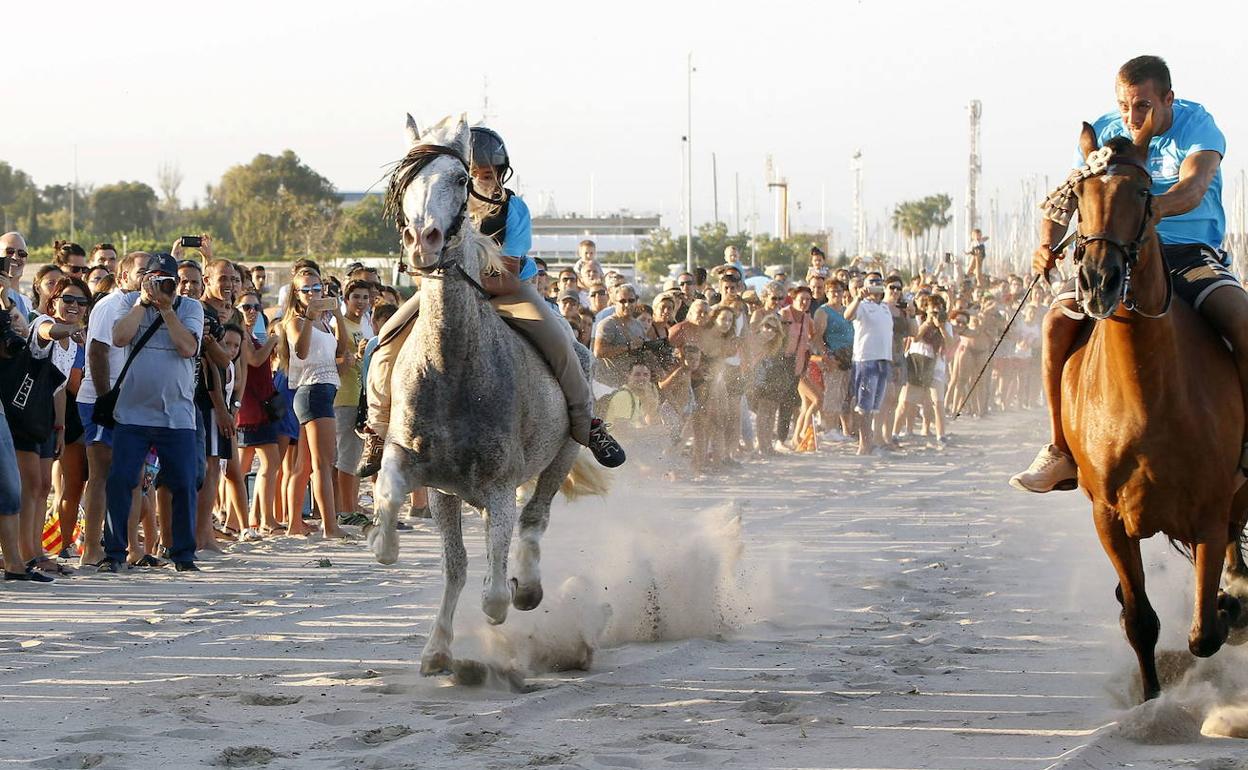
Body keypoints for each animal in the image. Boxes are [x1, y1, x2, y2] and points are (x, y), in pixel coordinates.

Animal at [1058, 114, 1248, 698]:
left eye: (1143, 192)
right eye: (1078, 195)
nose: (1097, 281)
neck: (1146, 394)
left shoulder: (1209, 509)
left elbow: (1206, 633)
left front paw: (1230, 607)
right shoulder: (1109, 517)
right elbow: (1140, 620)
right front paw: (1149, 691)